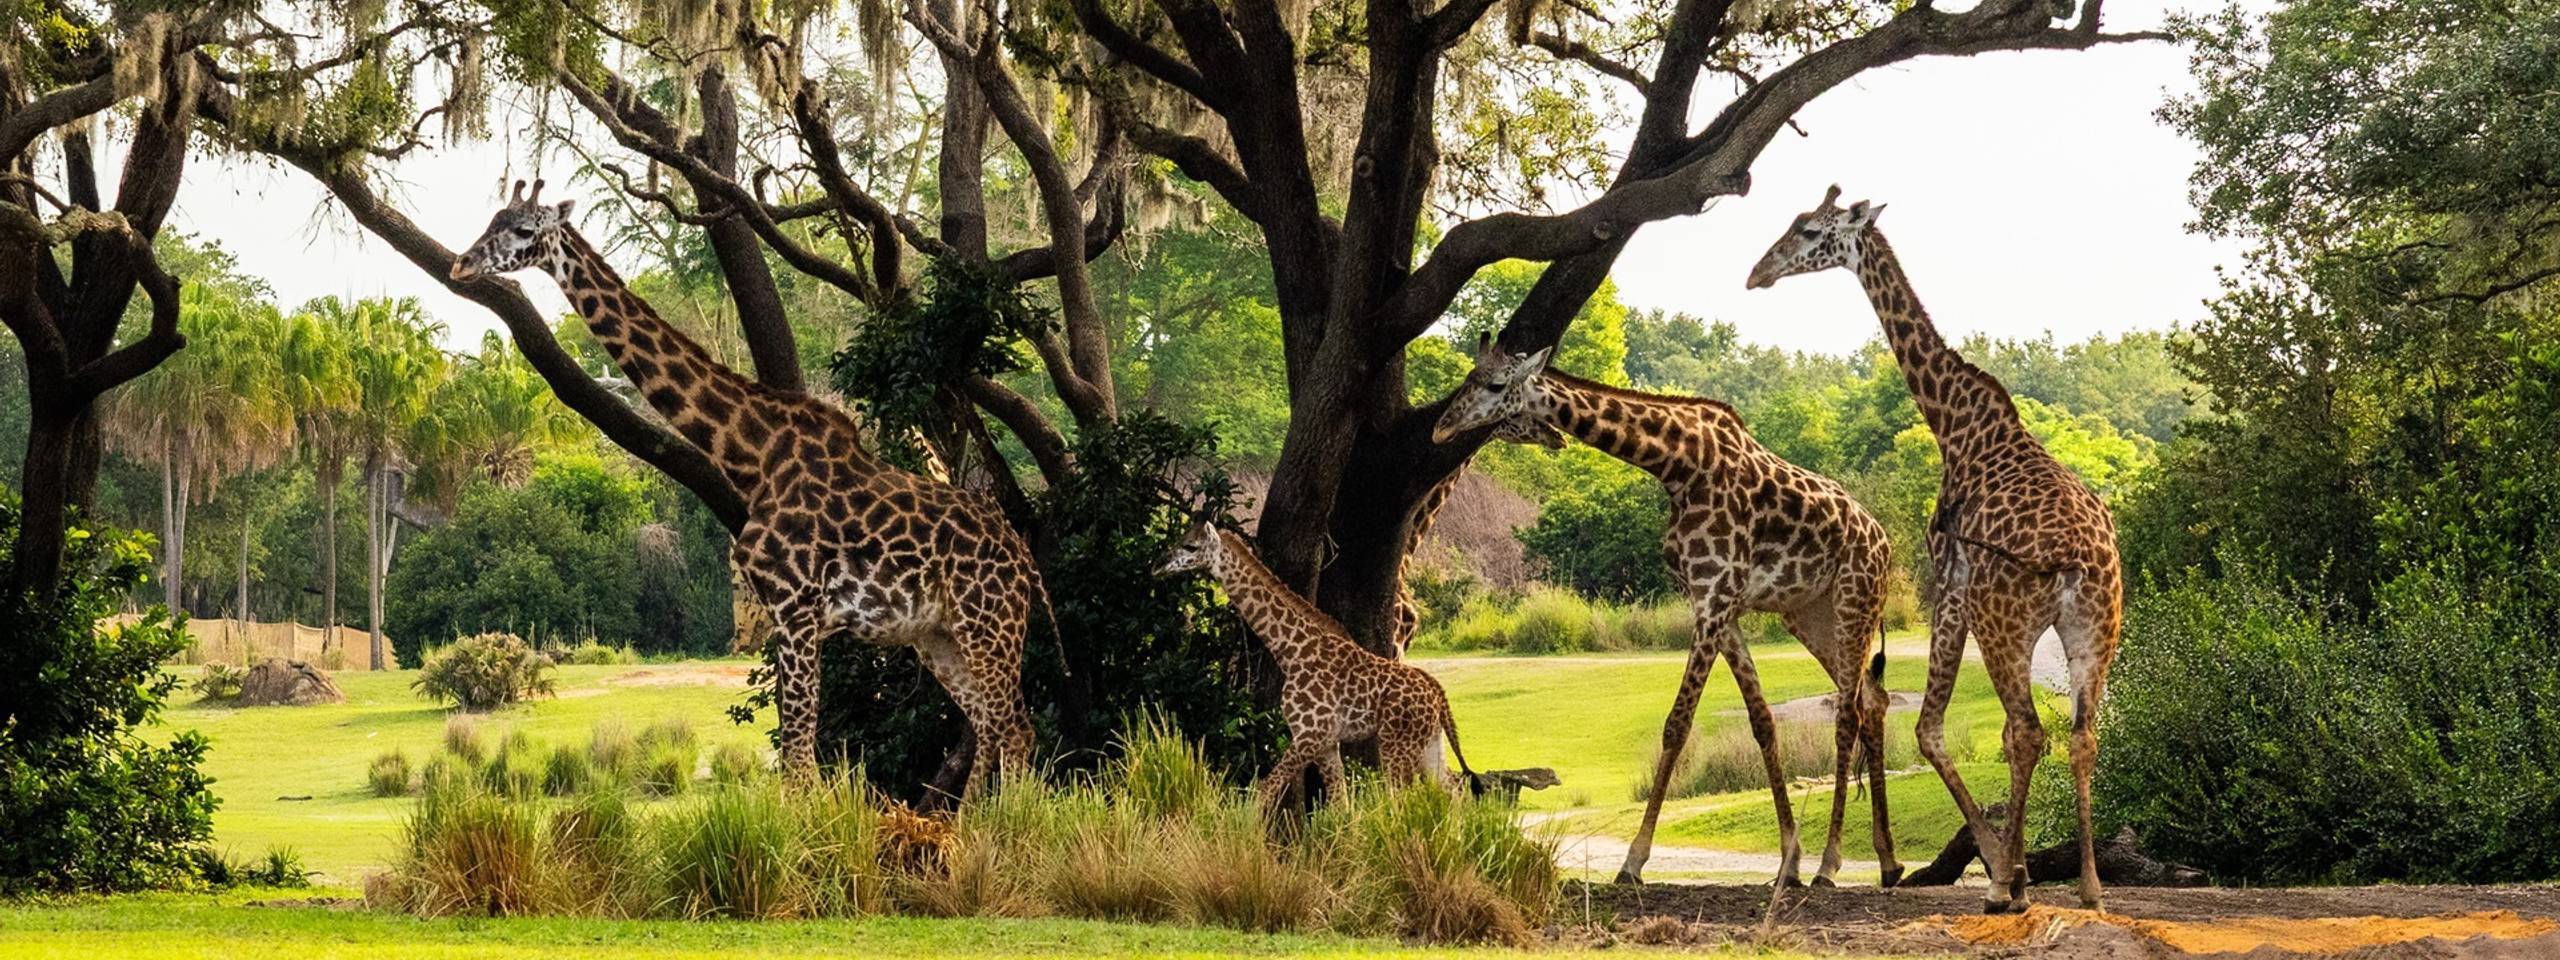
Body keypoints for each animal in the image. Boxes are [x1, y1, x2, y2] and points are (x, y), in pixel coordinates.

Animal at [452, 181, 1040, 790]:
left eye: (524, 230)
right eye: (492, 219)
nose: (460, 265)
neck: (752, 458)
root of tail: (1026, 562)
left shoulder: (797, 609)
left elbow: (799, 763)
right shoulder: (788, 615)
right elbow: (797, 759)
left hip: (986, 622)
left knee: (1015, 727)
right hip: (937, 634)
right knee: (993, 725)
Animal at [1157, 522, 1482, 817]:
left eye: (1190, 546)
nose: (1157, 566)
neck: (1291, 651)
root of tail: (1438, 695)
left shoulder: (1309, 734)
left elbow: (1264, 789)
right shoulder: (1327, 742)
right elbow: (1340, 805)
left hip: (1397, 743)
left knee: (1403, 798)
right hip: (1429, 742)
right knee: (1454, 792)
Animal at [1434, 338, 1899, 889]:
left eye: (1495, 385)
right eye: (1466, 376)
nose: (1441, 426)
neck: (1677, 464)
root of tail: (1886, 545)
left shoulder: (1716, 596)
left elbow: (1677, 724)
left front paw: (1633, 861)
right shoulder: (1716, 603)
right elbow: (1762, 721)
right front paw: (1788, 861)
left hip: (1855, 599)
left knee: (1848, 712)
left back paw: (1831, 864)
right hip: (1809, 614)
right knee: (1873, 698)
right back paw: (1888, 861)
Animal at [1746, 186, 2124, 913]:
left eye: (1808, 230)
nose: (1757, 273)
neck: (1957, 424)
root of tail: (2075, 562)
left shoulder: (1947, 583)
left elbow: (1929, 729)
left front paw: (2006, 871)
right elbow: (1969, 731)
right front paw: (2017, 867)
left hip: (2005, 622)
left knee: (2029, 730)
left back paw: (2011, 889)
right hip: (2097, 627)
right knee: (2080, 734)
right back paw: (2091, 888)